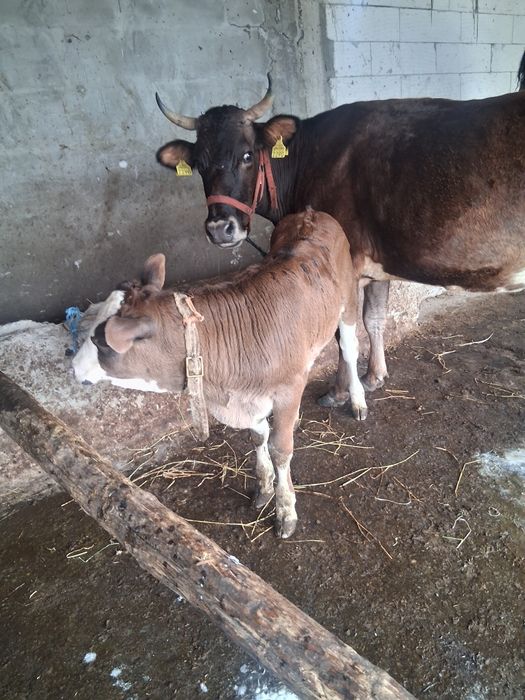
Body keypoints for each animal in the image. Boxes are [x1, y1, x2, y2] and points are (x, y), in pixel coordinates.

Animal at [73, 209, 366, 538]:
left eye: (100, 341)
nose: (74, 366)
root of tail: (310, 213)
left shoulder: (287, 388)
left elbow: (281, 449)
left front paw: (285, 510)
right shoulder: (249, 399)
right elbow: (258, 436)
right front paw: (264, 488)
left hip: (348, 304)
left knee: (350, 350)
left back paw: (357, 401)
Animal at [155, 52, 525, 409]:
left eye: (247, 155)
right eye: (199, 165)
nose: (220, 228)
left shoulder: (344, 263)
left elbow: (342, 334)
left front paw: (339, 392)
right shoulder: (377, 265)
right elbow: (374, 319)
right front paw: (374, 376)